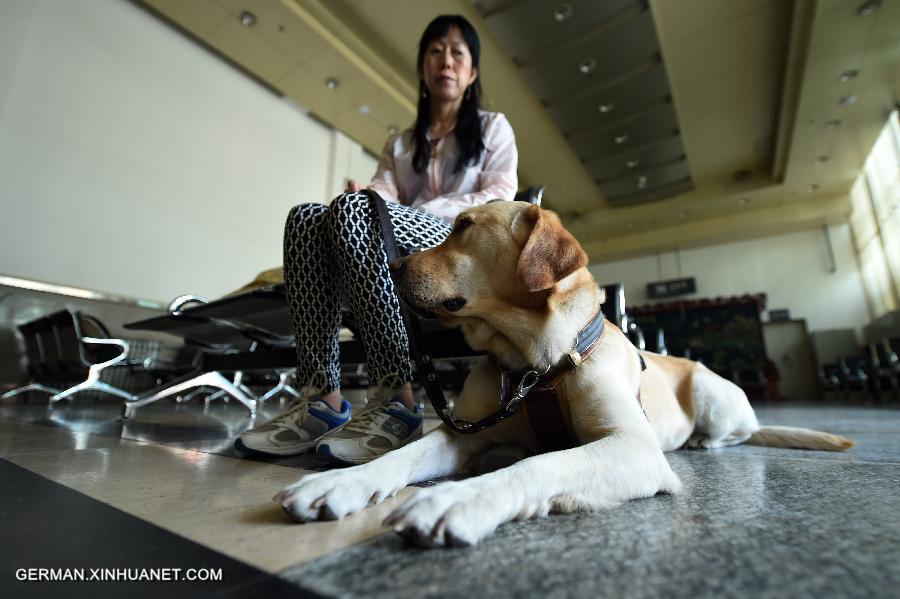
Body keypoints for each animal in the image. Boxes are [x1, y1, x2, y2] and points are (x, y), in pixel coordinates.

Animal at [278, 200, 856, 548]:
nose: (392, 267)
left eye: (463, 227)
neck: (535, 363)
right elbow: (406, 453)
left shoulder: (632, 446)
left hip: (713, 391)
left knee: (738, 432)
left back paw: (703, 442)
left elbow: (538, 464)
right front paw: (340, 482)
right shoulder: (463, 430)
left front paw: (454, 499)